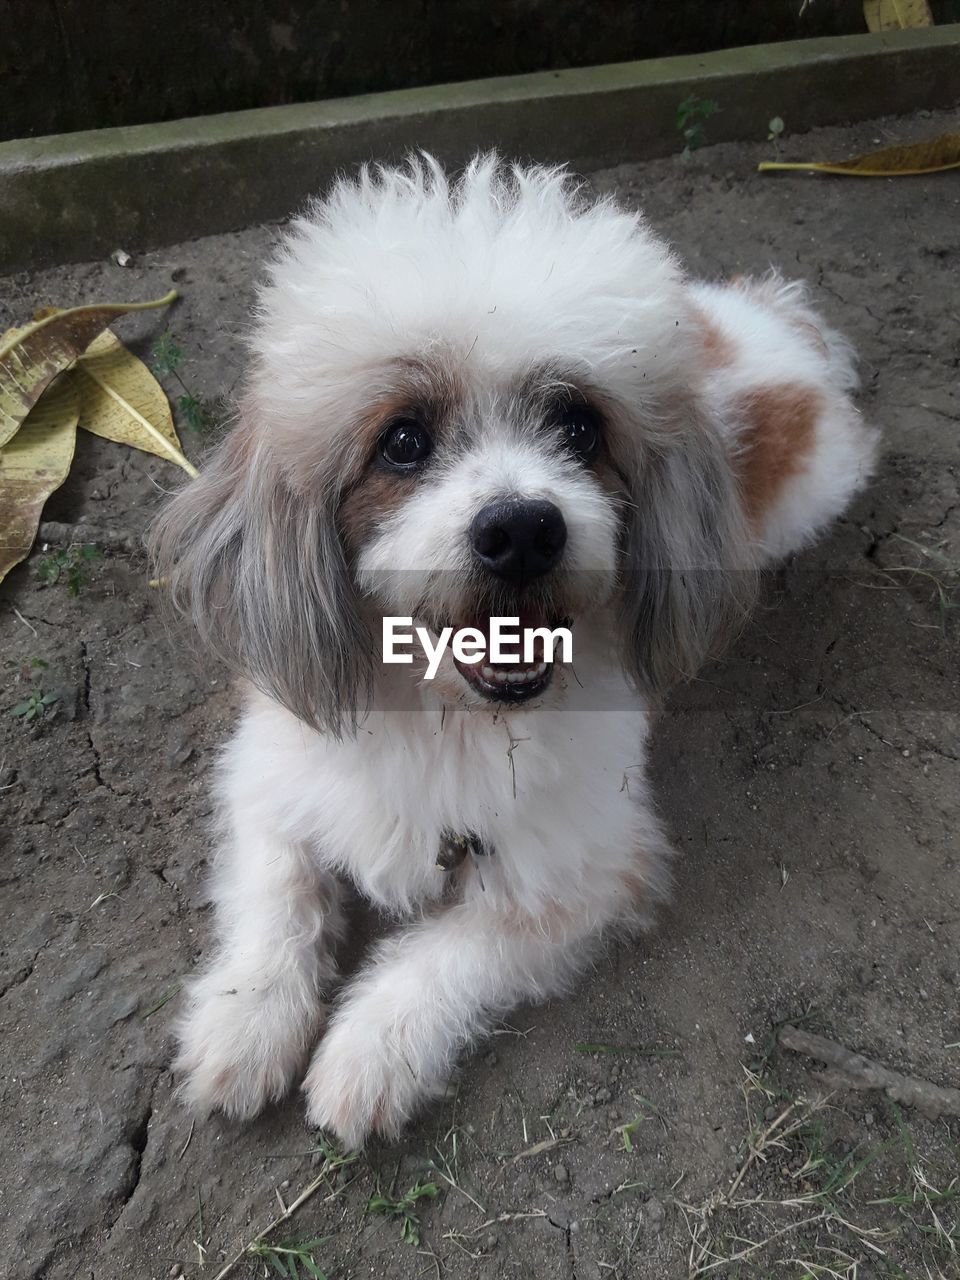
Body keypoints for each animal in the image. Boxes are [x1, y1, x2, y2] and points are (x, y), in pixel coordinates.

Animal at [150, 154, 880, 1146]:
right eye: (404, 441)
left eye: (580, 428)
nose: (524, 530)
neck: (448, 720)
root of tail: (769, 318)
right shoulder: (269, 782)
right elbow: (278, 899)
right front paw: (245, 1021)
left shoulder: (590, 870)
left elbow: (457, 948)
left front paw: (370, 1050)